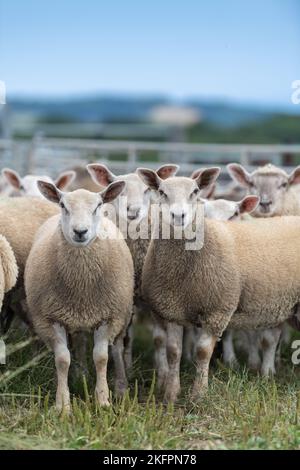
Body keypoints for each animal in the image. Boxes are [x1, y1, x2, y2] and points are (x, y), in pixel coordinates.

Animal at [24, 180, 134, 412]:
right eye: (63, 205)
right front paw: (63, 405)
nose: (80, 231)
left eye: (98, 205)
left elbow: (101, 358)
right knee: (80, 343)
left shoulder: (108, 317)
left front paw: (103, 402)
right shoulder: (51, 318)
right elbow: (62, 359)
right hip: (73, 318)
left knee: (117, 349)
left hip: (122, 316)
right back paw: (80, 376)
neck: (81, 287)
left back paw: (121, 387)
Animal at [138, 167, 300, 402]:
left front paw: (198, 394)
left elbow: (203, 352)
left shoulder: (217, 310)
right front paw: (171, 394)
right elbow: (173, 351)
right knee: (271, 338)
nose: (178, 216)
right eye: (161, 191)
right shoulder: (172, 310)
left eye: (195, 192)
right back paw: (267, 374)